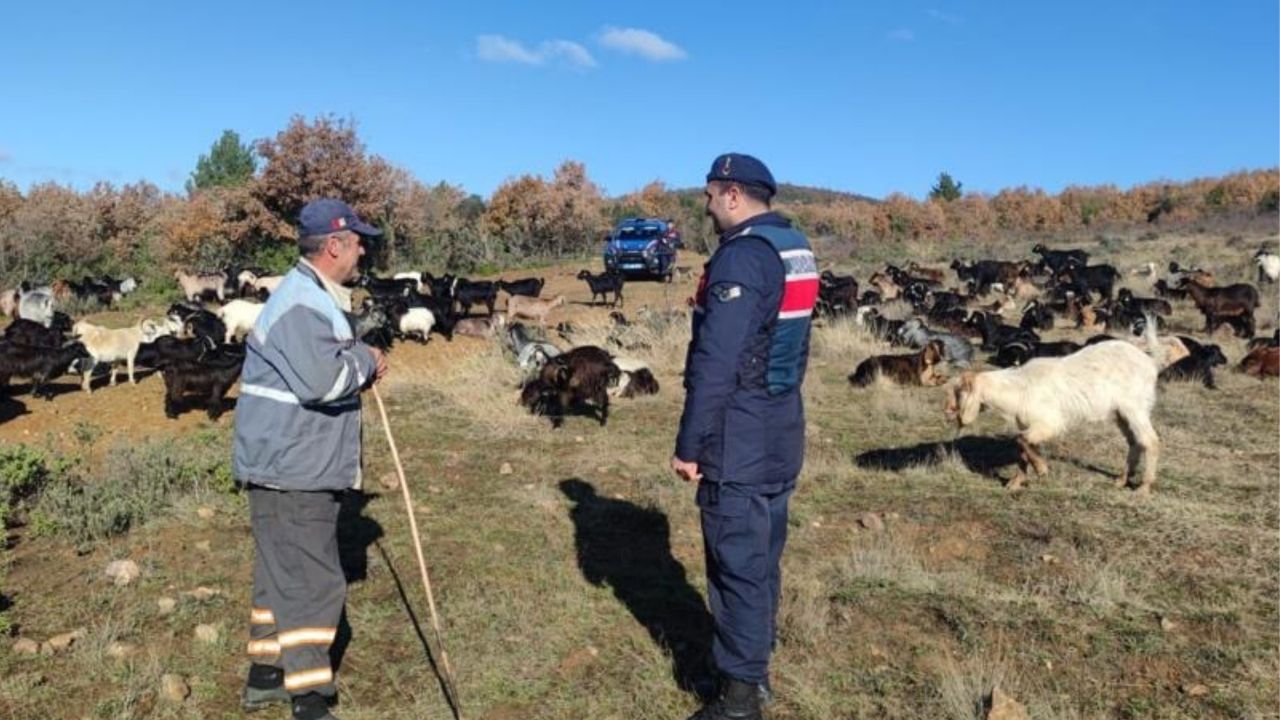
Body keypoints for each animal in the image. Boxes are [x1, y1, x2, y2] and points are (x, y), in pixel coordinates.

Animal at [942, 335, 1162, 491]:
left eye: (958, 392)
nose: (947, 412)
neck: (1019, 388)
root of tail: (1151, 362)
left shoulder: (1049, 423)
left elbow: (1021, 440)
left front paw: (1041, 470)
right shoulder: (1029, 425)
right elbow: (1023, 447)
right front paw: (1016, 483)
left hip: (1134, 407)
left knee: (1150, 441)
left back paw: (1143, 488)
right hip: (1121, 413)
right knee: (1135, 442)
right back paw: (1122, 480)